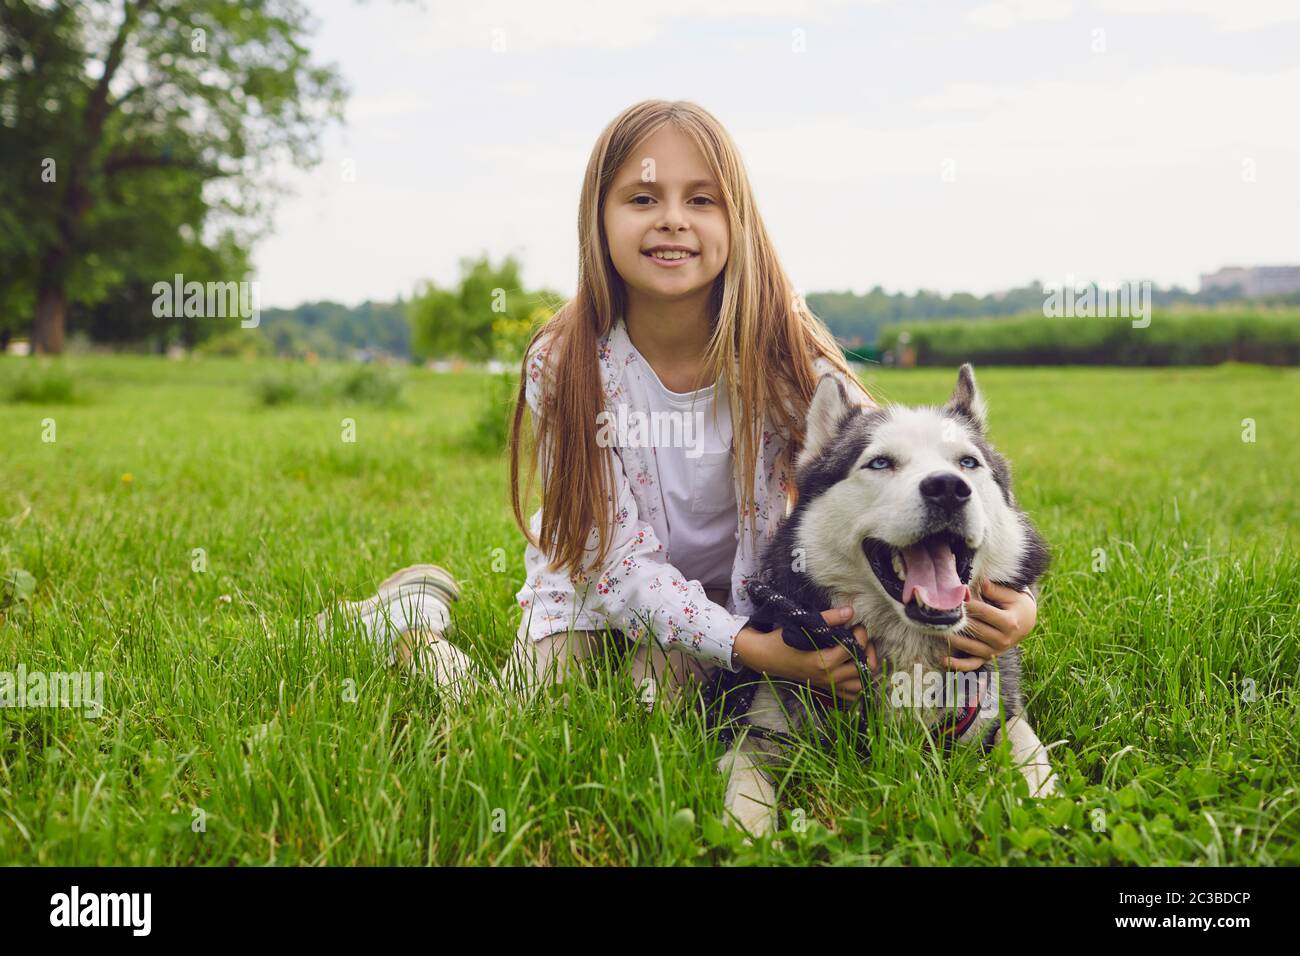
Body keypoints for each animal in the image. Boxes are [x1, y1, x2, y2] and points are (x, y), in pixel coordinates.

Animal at [717, 366, 1060, 837]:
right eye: (880, 462)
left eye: (968, 463)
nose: (948, 488)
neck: (910, 650)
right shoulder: (756, 732)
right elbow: (746, 782)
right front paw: (749, 833)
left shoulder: (998, 711)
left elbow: (1027, 742)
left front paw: (1042, 800)